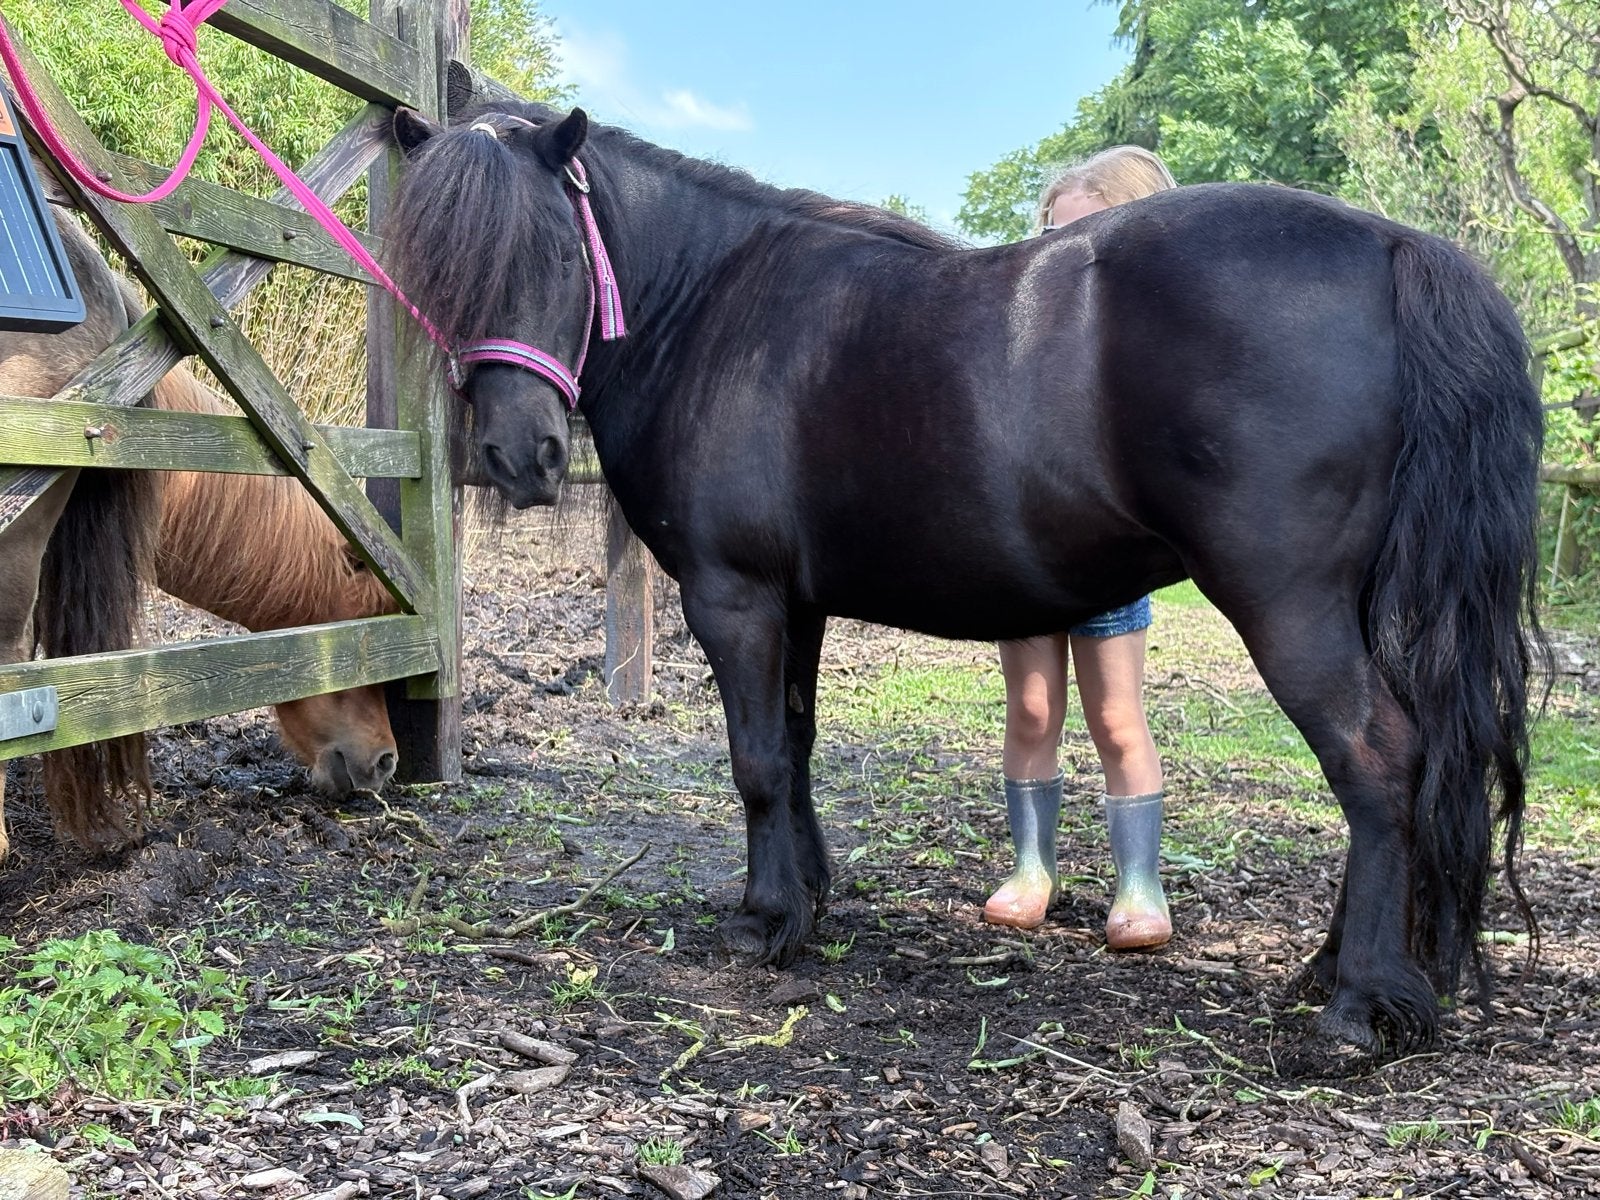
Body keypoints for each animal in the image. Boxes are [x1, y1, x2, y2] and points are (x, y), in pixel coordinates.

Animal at [383, 103, 1546, 1055]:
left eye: (552, 251)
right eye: (442, 271)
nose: (519, 455)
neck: (709, 307)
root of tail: (1395, 244)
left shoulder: (734, 596)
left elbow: (755, 761)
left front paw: (764, 922)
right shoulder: (797, 604)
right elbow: (795, 747)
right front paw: (811, 898)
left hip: (1288, 604)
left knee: (1376, 761)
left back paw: (1358, 1002)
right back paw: (1329, 970)